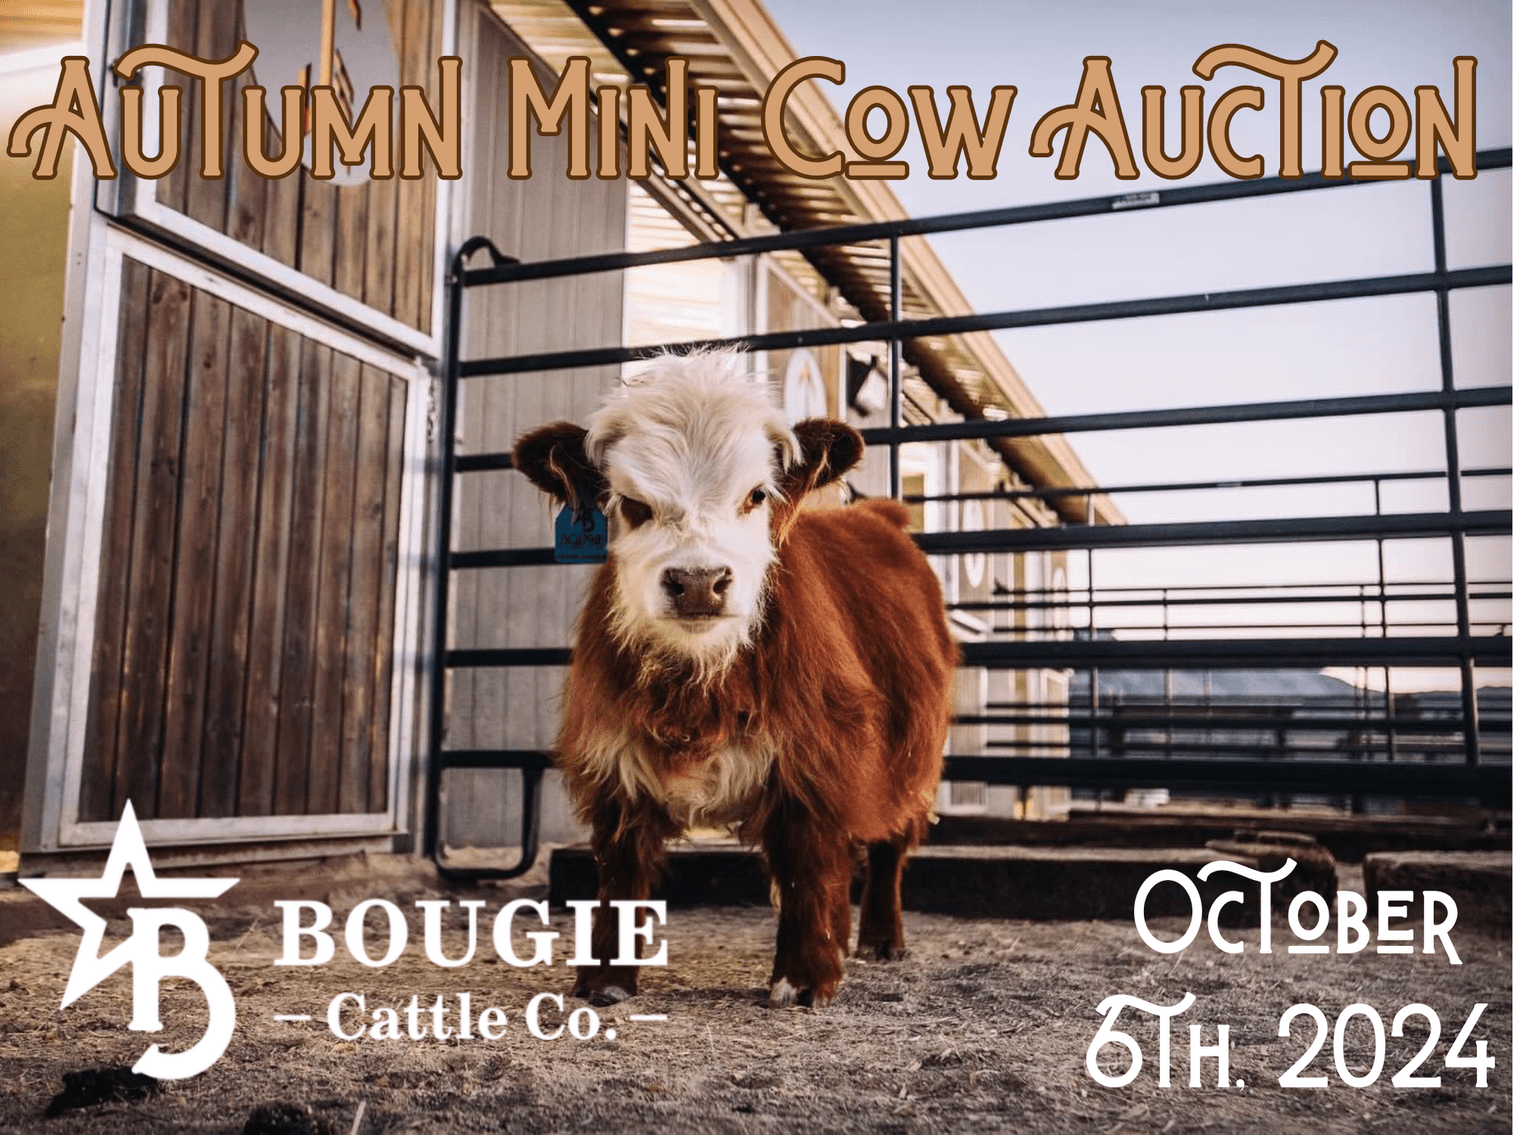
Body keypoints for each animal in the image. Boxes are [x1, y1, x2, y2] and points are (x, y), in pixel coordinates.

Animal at [512, 350, 957, 1008]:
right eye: (632, 504)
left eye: (754, 495)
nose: (698, 581)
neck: (698, 691)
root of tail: (878, 515)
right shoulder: (614, 762)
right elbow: (620, 871)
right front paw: (607, 979)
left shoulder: (817, 760)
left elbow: (805, 864)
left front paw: (804, 978)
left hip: (914, 760)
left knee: (886, 848)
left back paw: (880, 939)